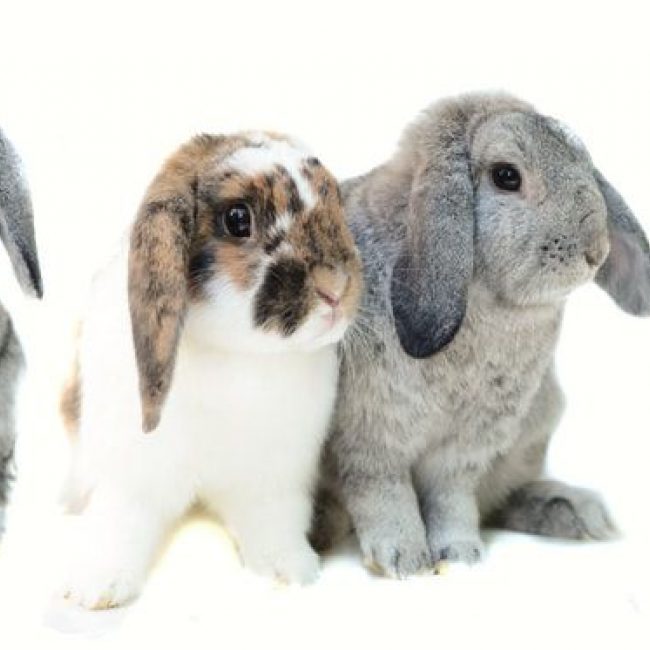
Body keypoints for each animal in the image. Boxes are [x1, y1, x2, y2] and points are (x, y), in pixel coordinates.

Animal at [58, 131, 361, 609]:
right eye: (238, 219)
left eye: (335, 202)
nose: (335, 288)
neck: (236, 354)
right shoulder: (131, 476)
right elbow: (119, 523)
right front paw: (96, 587)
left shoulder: (275, 478)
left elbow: (275, 521)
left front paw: (290, 570)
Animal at [311, 92, 650, 577]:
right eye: (506, 176)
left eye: (583, 162)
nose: (595, 251)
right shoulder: (371, 438)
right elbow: (384, 495)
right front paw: (405, 560)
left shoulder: (468, 447)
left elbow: (452, 499)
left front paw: (460, 553)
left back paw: (574, 513)